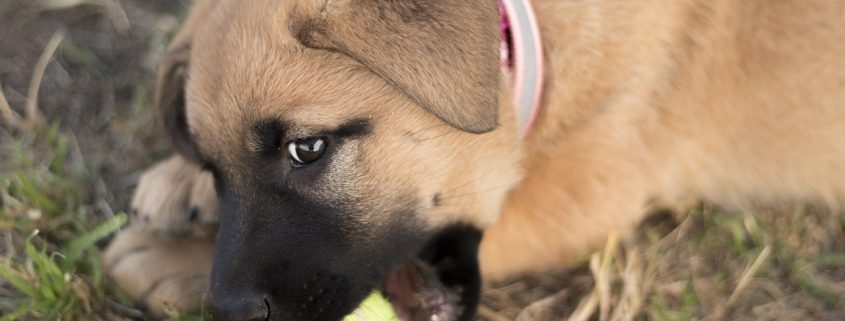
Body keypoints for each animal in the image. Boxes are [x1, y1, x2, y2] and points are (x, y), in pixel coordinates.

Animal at [102, 0, 844, 320]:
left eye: (306, 149)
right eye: (215, 167)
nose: (230, 308)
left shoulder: (587, 191)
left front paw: (172, 261)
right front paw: (179, 184)